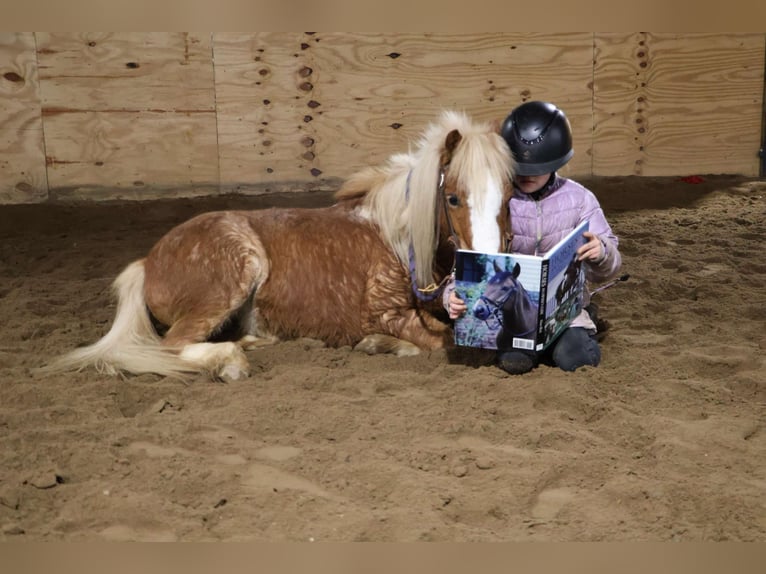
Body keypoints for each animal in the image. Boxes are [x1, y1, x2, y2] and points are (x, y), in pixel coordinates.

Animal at [43, 110, 515, 381]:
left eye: (510, 193)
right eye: (452, 197)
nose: (491, 258)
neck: (396, 239)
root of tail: (147, 261)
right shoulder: (389, 314)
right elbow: (440, 340)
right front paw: (380, 344)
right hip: (233, 277)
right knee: (169, 347)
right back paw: (230, 362)